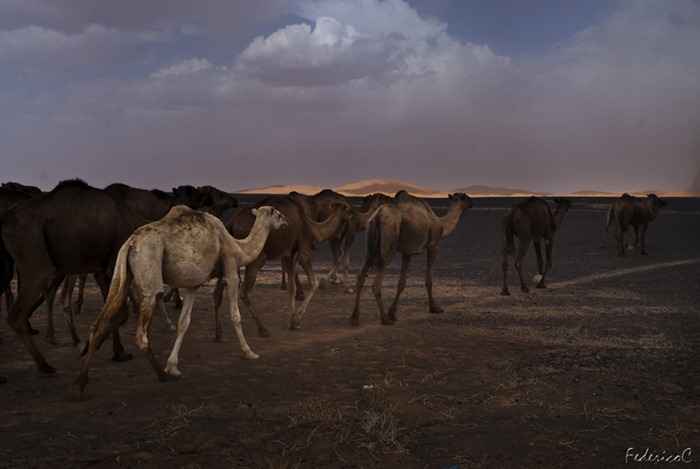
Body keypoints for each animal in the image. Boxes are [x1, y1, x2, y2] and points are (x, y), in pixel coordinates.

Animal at [79, 205, 290, 398]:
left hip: (120, 272)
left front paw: (172, 365)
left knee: (99, 323)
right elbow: (235, 316)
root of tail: (131, 243)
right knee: (141, 333)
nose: (286, 222)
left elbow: (184, 322)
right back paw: (163, 377)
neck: (240, 248)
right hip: (149, 265)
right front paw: (249, 352)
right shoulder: (230, 269)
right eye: (278, 214)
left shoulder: (193, 284)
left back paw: (81, 384)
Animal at [213, 195, 352, 340]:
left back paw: (219, 335)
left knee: (217, 293)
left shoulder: (289, 254)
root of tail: (231, 224)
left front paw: (291, 321)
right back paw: (263, 329)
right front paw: (297, 319)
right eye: (349, 210)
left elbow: (291, 287)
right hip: (256, 257)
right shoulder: (303, 249)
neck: (312, 229)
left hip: (228, 256)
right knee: (245, 292)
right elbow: (314, 283)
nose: (354, 216)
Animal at [348, 190, 474, 326]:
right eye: (465, 197)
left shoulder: (408, 251)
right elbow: (429, 280)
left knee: (361, 276)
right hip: (388, 241)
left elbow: (402, 282)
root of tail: (377, 217)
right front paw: (434, 308)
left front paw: (392, 312)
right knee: (376, 283)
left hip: (369, 244)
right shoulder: (434, 245)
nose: (472, 202)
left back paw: (354, 318)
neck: (442, 224)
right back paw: (384, 319)